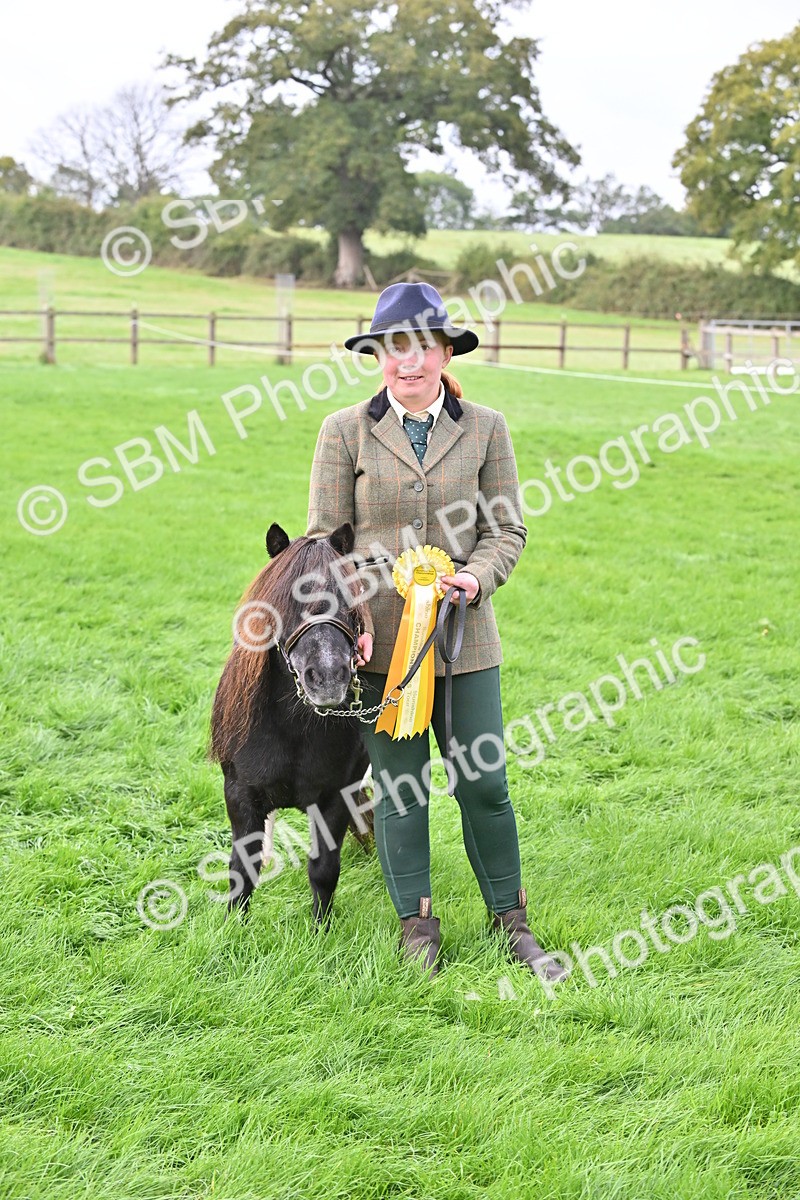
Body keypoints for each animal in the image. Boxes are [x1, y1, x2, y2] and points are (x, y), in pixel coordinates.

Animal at [208, 520, 375, 925]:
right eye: (288, 601)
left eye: (348, 599)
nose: (328, 678)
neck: (292, 731)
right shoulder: (240, 795)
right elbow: (243, 868)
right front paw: (235, 929)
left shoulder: (335, 798)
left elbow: (324, 869)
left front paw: (320, 930)